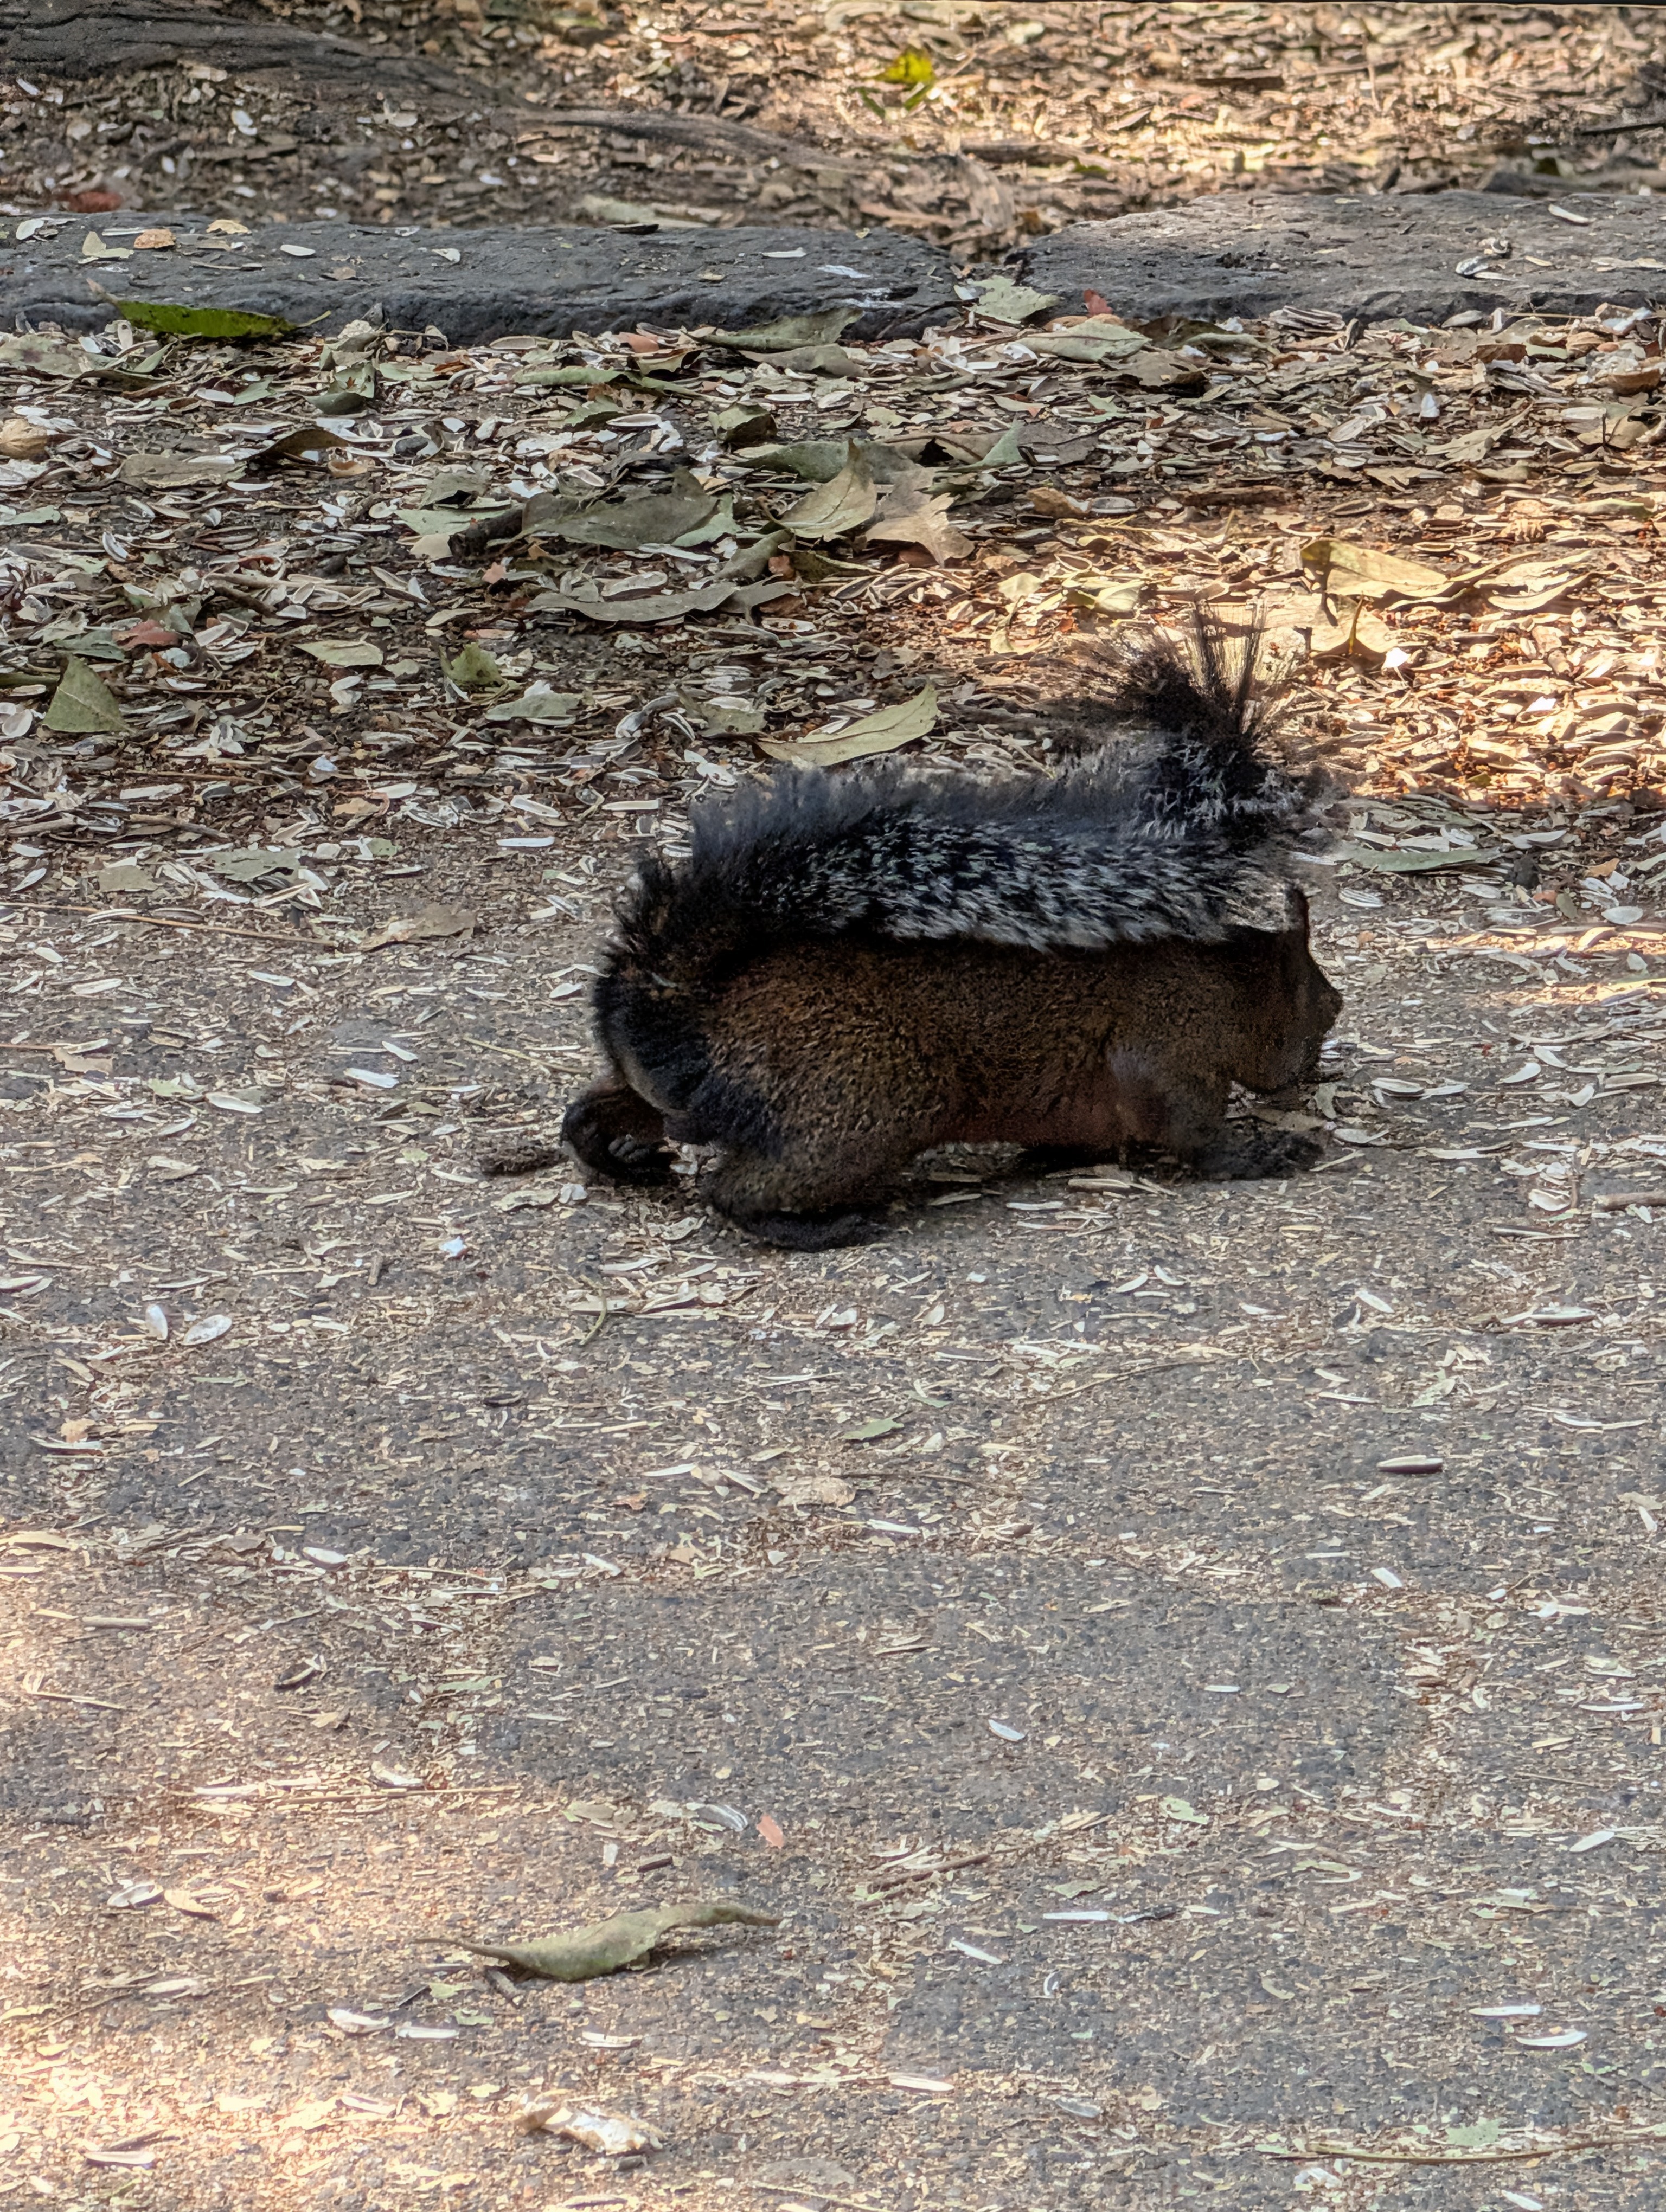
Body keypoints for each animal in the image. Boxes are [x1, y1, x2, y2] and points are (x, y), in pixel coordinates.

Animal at [561, 615, 1343, 1250]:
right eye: (1323, 1005)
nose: (1315, 1061)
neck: (1228, 983)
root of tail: (684, 1020)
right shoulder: (1168, 1047)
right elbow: (1190, 1129)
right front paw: (1260, 1155)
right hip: (870, 1104)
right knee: (732, 1192)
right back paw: (823, 1227)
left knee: (602, 1110)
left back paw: (613, 1150)